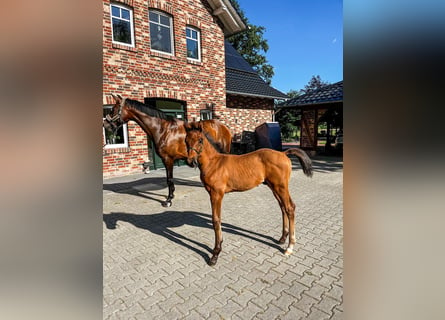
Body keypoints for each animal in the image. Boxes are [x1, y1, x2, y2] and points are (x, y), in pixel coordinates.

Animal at [184, 121, 312, 266]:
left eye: (200, 140)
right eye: (186, 140)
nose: (190, 161)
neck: (214, 162)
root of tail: (284, 153)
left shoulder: (216, 194)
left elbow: (216, 220)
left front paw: (215, 254)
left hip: (281, 187)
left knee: (290, 208)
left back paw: (290, 247)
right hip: (274, 187)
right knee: (283, 208)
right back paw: (282, 239)